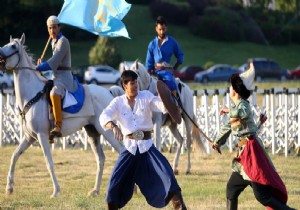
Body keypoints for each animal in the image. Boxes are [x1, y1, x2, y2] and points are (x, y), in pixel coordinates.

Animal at [0, 33, 123, 198]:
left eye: (13, 46)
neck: (32, 94)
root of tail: (108, 91)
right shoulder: (29, 137)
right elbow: (14, 156)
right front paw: (9, 188)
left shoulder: (42, 136)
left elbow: (49, 162)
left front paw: (56, 191)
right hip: (92, 132)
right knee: (100, 159)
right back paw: (96, 190)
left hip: (107, 131)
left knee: (122, 151)